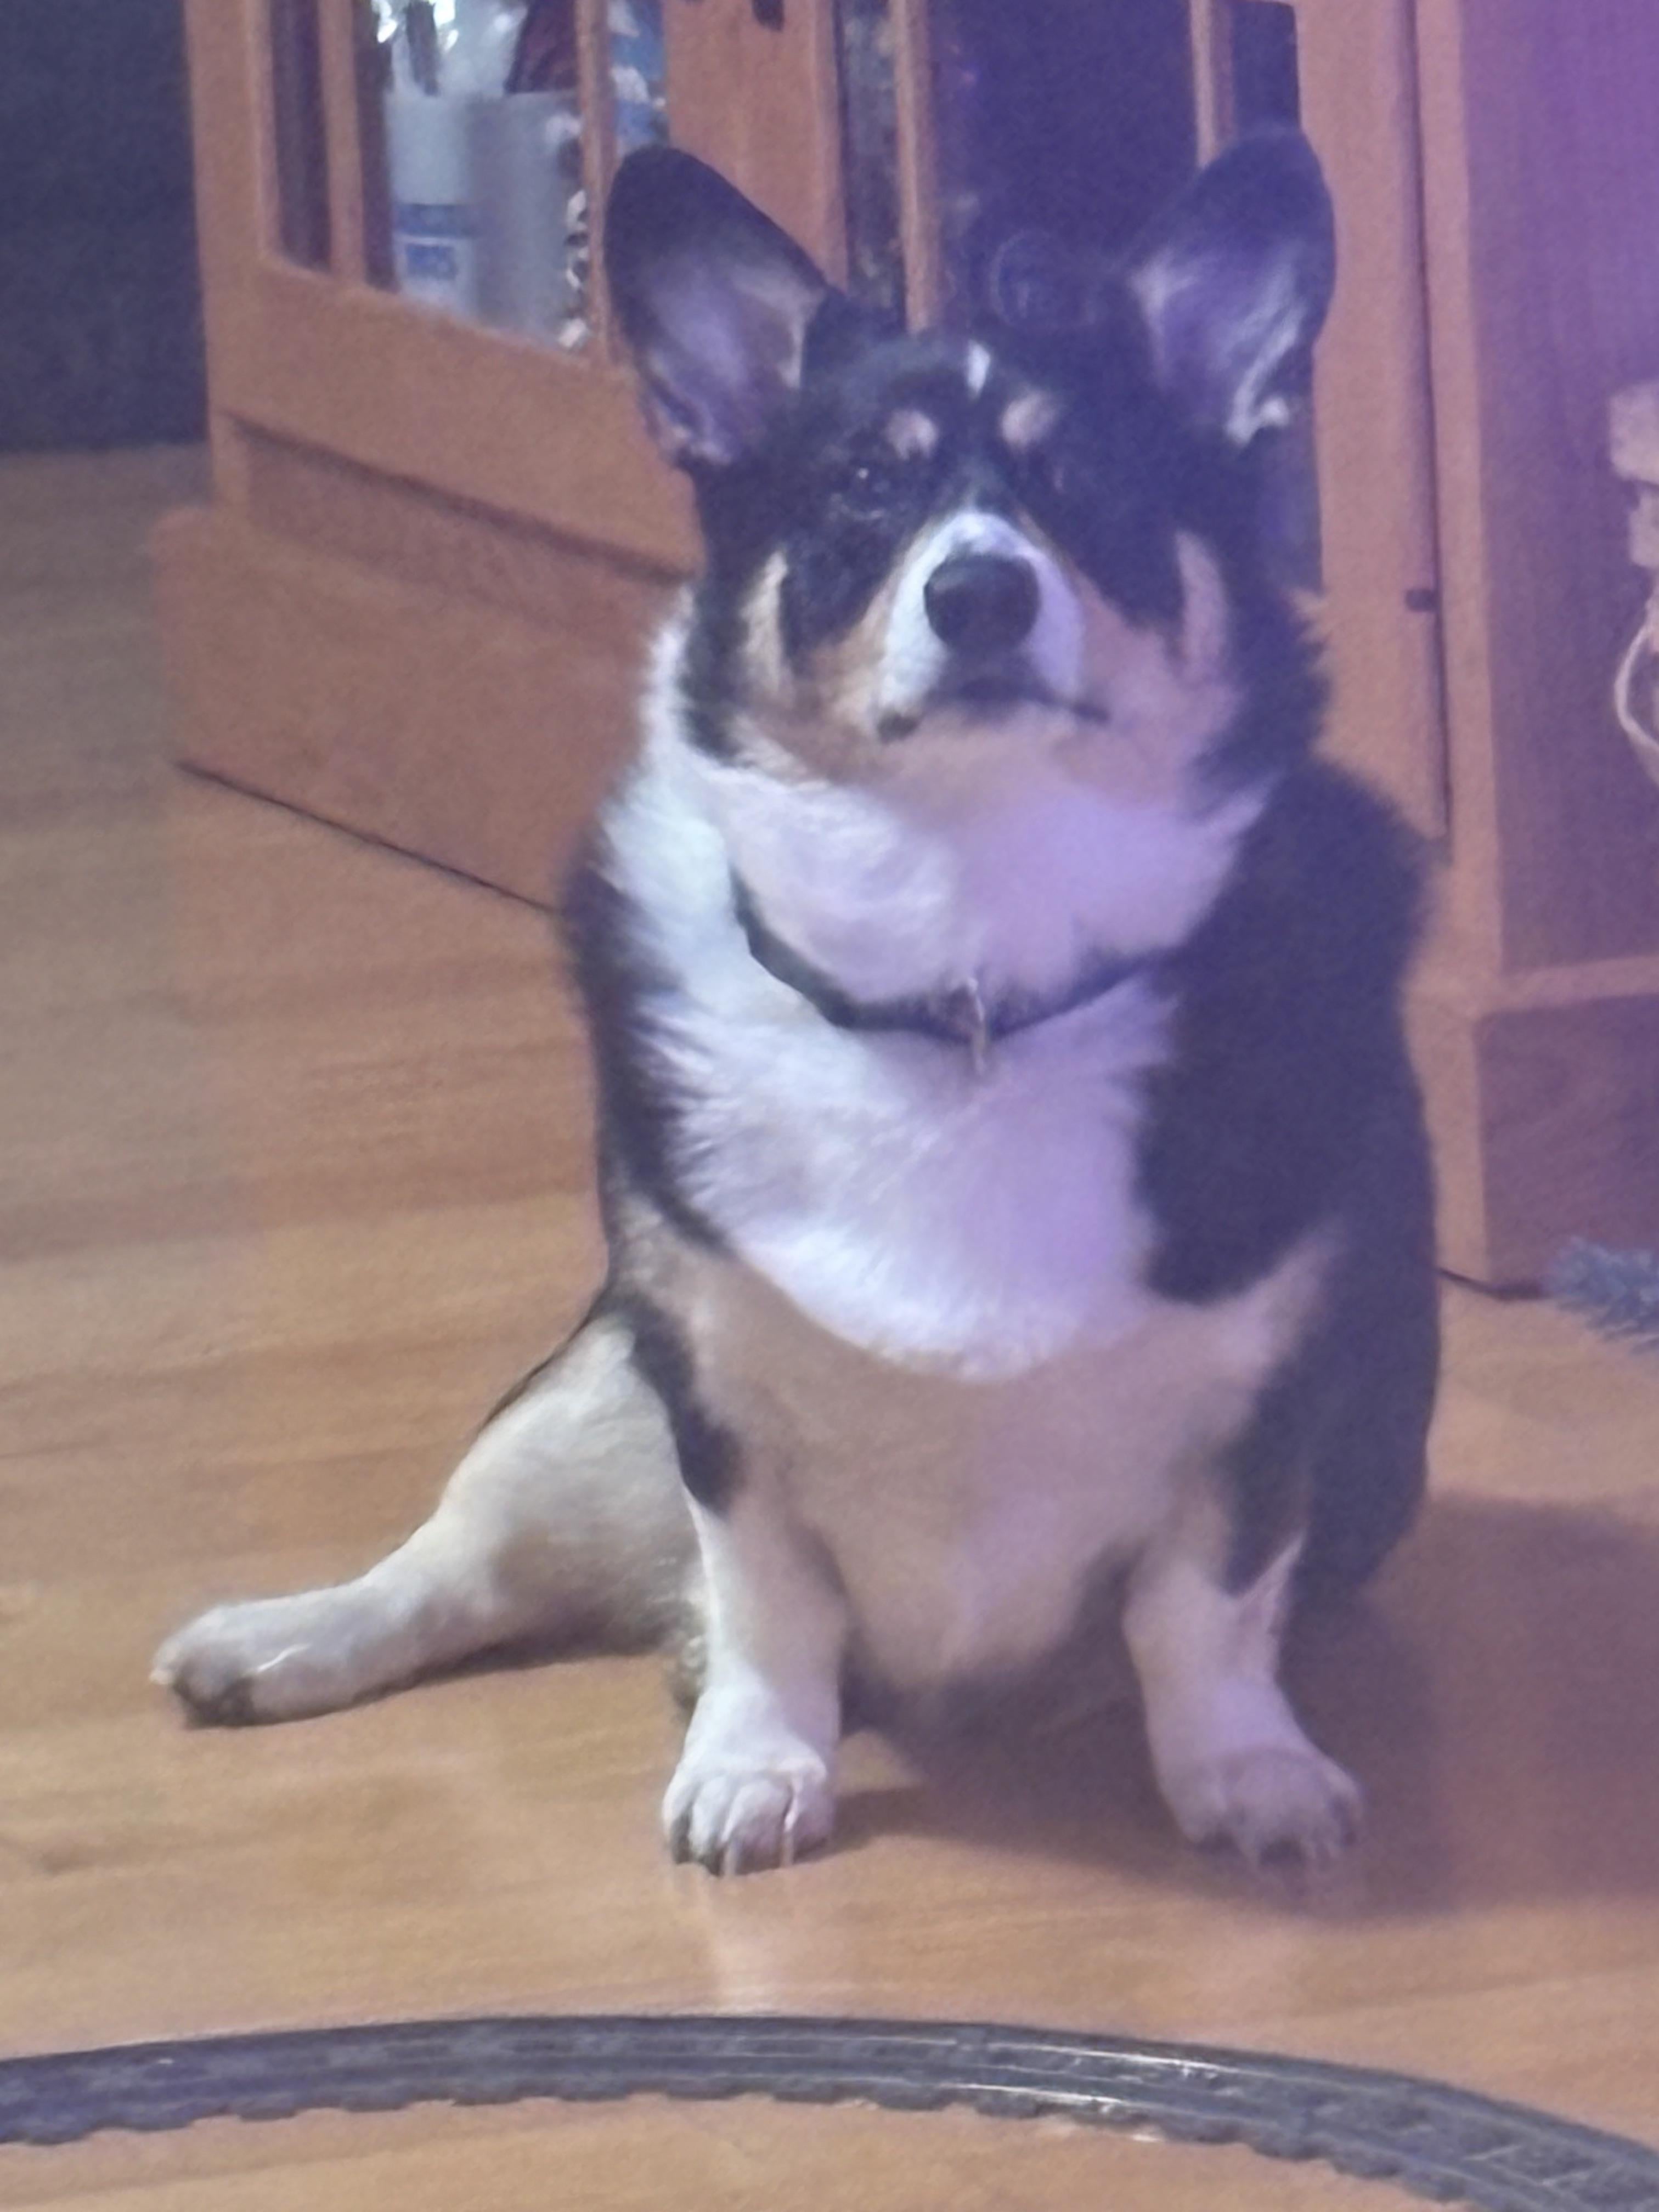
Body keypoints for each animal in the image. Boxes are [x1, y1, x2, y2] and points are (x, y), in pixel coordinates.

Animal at [155, 132, 1438, 1876]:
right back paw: (275, 1644)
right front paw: (758, 1770)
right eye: (861, 492)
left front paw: (1246, 1775)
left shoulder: (1267, 1402)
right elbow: (770, 1605)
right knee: (463, 1565)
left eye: (1088, 484)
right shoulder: (714, 1385)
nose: (981, 596)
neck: (969, 963)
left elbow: (1207, 1611)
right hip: (587, 1388)